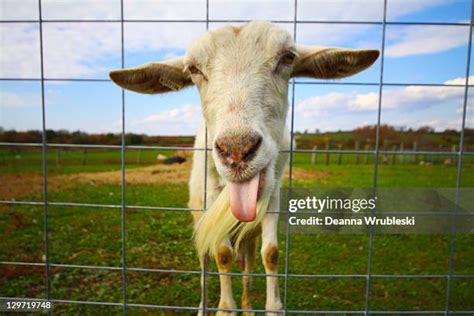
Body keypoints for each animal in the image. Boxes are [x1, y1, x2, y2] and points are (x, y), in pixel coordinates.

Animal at [109, 21, 380, 314]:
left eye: (288, 58)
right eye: (193, 69)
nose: (237, 150)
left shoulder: (272, 197)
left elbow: (271, 253)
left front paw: (272, 306)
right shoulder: (212, 197)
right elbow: (222, 255)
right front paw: (225, 308)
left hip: (248, 233)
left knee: (248, 265)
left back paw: (248, 306)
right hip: (199, 217)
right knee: (205, 265)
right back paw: (203, 306)